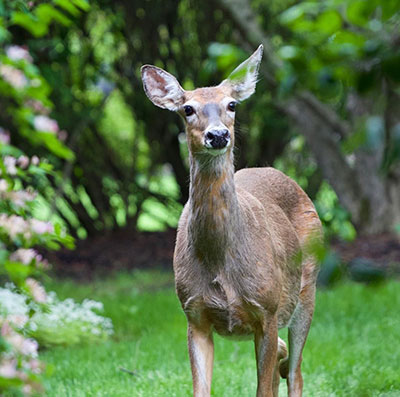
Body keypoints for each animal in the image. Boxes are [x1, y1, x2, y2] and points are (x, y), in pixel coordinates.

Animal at [141, 44, 322, 396]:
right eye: (187, 109)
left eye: (232, 104)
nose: (218, 135)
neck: (220, 261)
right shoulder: (194, 314)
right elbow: (201, 389)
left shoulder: (267, 310)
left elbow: (263, 389)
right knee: (283, 364)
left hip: (307, 288)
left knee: (295, 372)